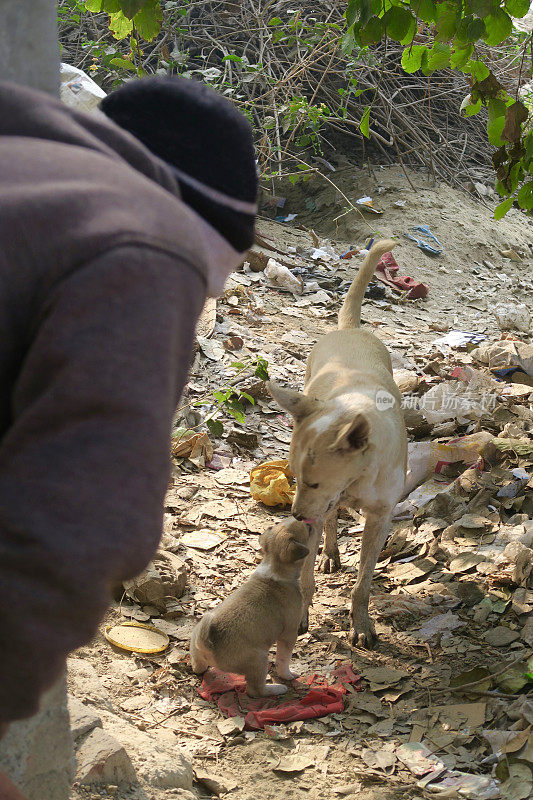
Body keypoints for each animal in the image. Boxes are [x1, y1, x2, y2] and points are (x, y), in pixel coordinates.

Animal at [190, 520, 308, 692]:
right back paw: (277, 688)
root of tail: (206, 644)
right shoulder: (289, 635)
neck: (275, 568)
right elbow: (283, 661)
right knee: (256, 690)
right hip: (260, 660)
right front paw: (289, 675)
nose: (304, 519)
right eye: (308, 529)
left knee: (198, 668)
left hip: (197, 654)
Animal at [268, 239, 406, 648]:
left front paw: (361, 624)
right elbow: (304, 575)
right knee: (329, 522)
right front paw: (300, 614)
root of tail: (350, 328)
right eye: (293, 479)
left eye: (313, 482)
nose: (296, 515)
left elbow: (363, 584)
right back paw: (329, 550)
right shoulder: (317, 509)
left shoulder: (379, 518)